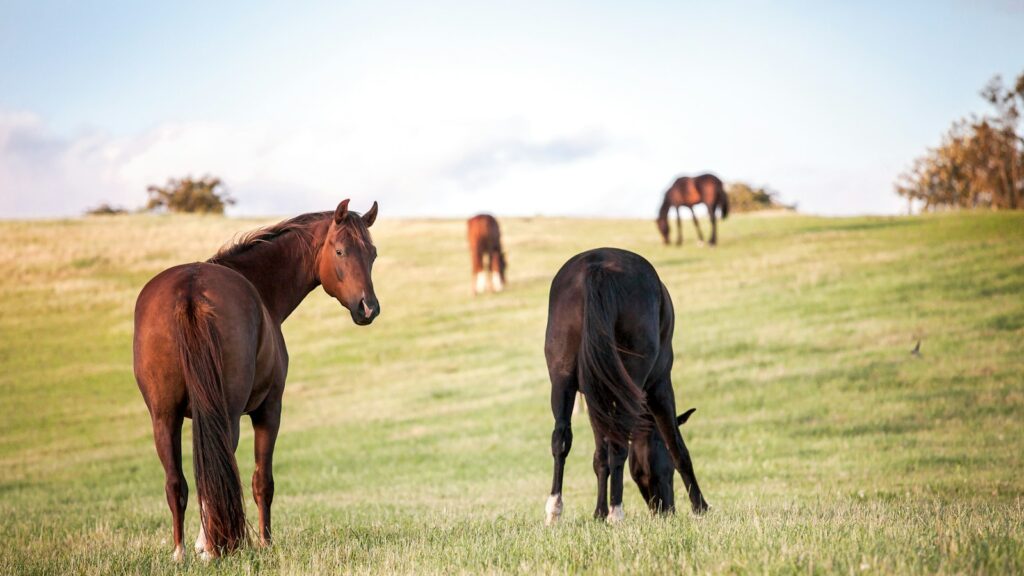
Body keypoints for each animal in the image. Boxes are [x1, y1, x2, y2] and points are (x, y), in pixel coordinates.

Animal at [133, 200, 379, 560]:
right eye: (340, 251)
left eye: (372, 253)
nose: (368, 308)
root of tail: (190, 290)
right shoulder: (269, 410)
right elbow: (262, 482)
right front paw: (263, 542)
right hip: (228, 414)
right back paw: (212, 547)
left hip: (163, 417)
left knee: (176, 482)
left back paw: (182, 551)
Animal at [543, 248, 708, 524]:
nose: (666, 510)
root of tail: (597, 268)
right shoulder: (660, 386)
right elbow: (677, 446)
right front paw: (700, 507)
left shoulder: (594, 397)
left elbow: (600, 456)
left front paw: (598, 513)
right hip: (635, 381)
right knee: (619, 444)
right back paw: (616, 512)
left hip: (562, 379)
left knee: (561, 438)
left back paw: (555, 511)